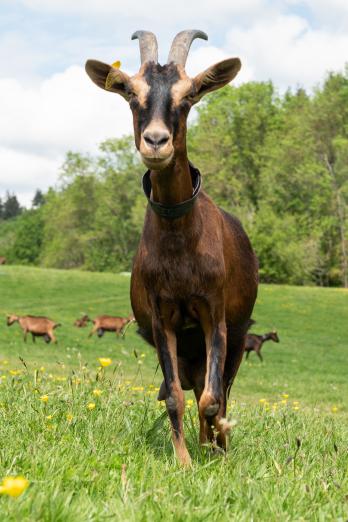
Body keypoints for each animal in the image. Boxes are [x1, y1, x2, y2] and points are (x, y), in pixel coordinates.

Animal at [85, 30, 256, 466]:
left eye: (189, 95)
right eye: (131, 94)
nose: (156, 141)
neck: (181, 245)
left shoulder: (215, 313)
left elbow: (213, 399)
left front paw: (215, 447)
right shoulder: (162, 316)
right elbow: (176, 397)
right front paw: (184, 461)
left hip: (239, 336)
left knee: (221, 390)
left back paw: (218, 443)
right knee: (190, 389)